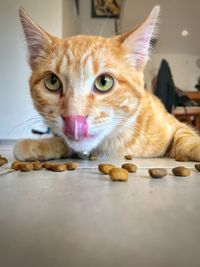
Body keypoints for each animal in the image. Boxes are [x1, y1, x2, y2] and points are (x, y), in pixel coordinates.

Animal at [14, 6, 200, 161]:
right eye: (52, 82)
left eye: (104, 82)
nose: (74, 121)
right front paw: (41, 144)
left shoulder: (177, 125)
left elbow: (185, 136)